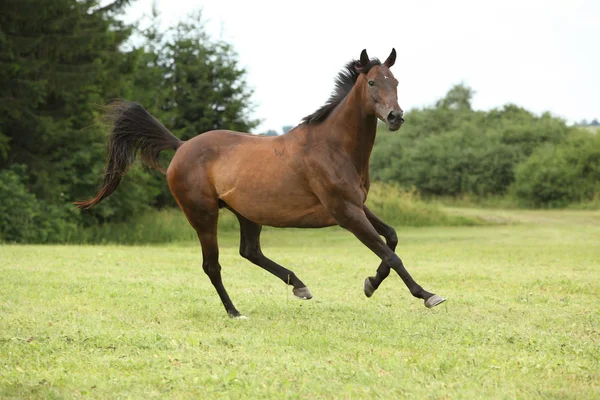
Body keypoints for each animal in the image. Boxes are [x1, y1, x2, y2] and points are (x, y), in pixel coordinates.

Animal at [76, 49, 446, 318]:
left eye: (395, 81)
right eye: (371, 83)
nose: (396, 117)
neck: (333, 146)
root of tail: (181, 147)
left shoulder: (357, 206)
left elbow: (392, 238)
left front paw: (371, 283)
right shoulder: (345, 212)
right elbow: (391, 254)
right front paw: (428, 295)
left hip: (246, 214)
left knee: (250, 251)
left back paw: (299, 286)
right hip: (203, 215)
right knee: (213, 265)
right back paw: (235, 311)